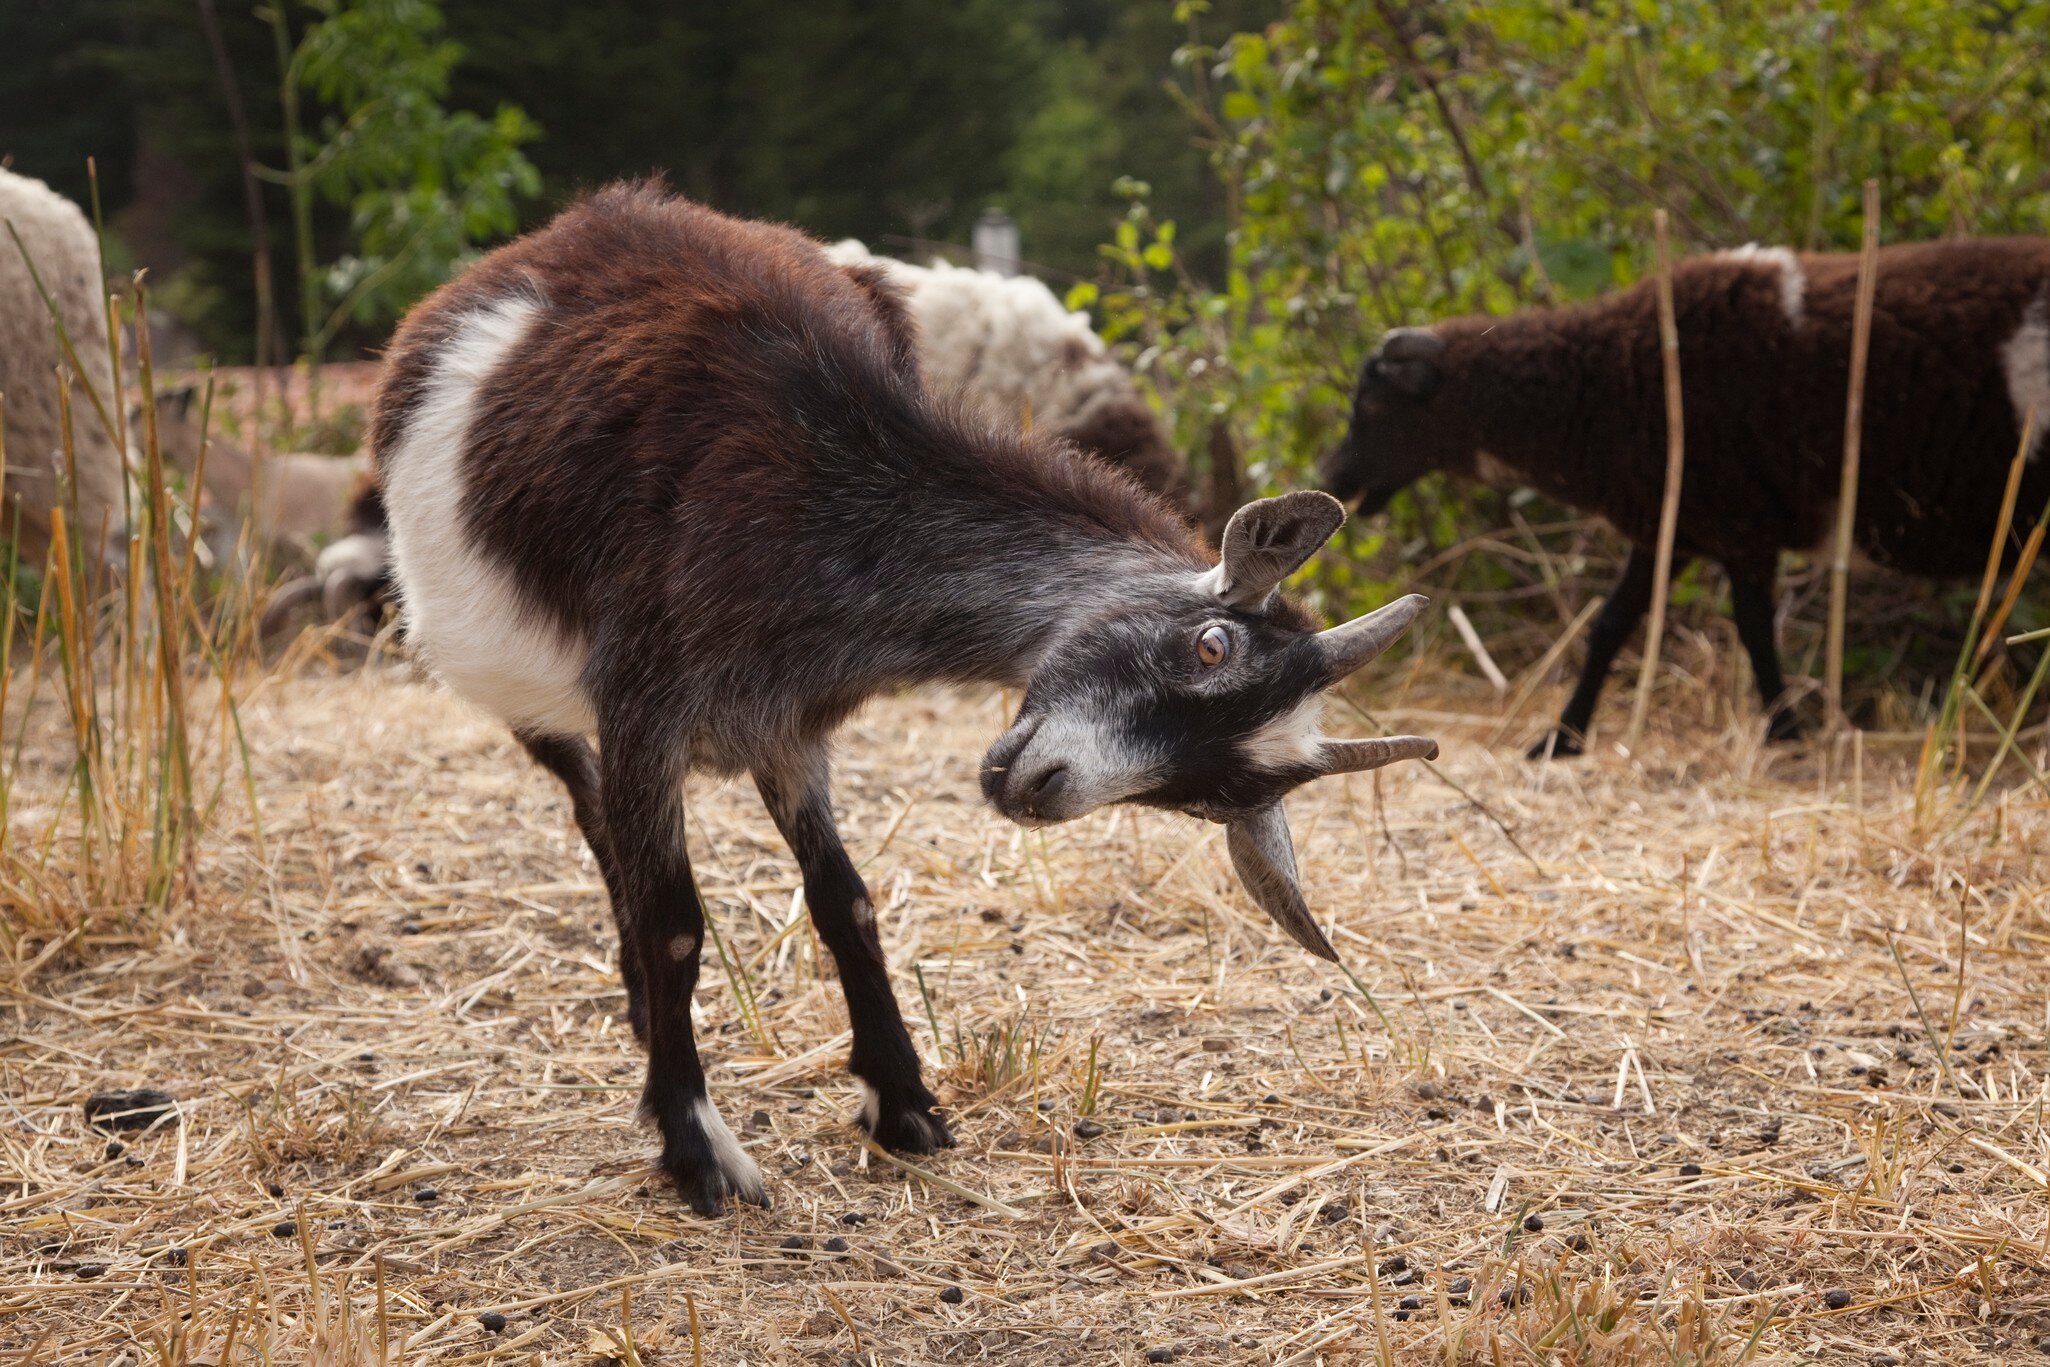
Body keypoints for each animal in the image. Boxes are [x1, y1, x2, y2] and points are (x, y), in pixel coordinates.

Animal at [374, 183, 1436, 1212]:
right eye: (1210, 644)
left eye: (1212, 795)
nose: (1043, 787)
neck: (822, 504)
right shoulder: (646, 702)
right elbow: (674, 919)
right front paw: (697, 1147)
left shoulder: (784, 719)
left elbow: (843, 897)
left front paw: (901, 1098)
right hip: (511, 670)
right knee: (591, 809)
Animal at [1321, 238, 2050, 757]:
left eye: (1374, 405)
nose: (1334, 480)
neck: (1601, 379)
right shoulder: (1673, 526)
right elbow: (1610, 626)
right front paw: (1561, 740)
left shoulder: (1739, 524)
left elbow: (1753, 629)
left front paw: (1786, 733)